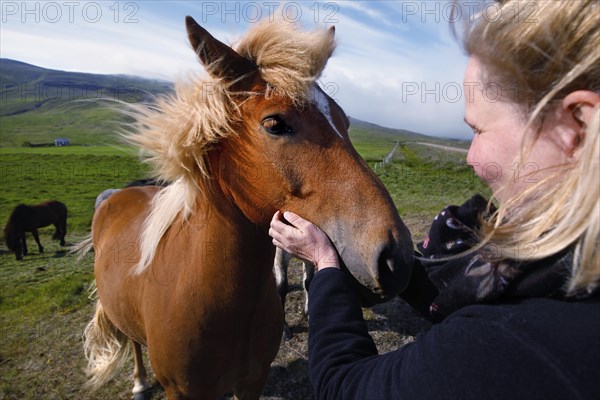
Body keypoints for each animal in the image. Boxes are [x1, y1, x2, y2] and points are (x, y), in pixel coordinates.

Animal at [82, 16, 414, 400]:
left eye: (345, 121)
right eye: (274, 123)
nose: (396, 258)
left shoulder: (253, 382)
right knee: (133, 341)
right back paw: (138, 382)